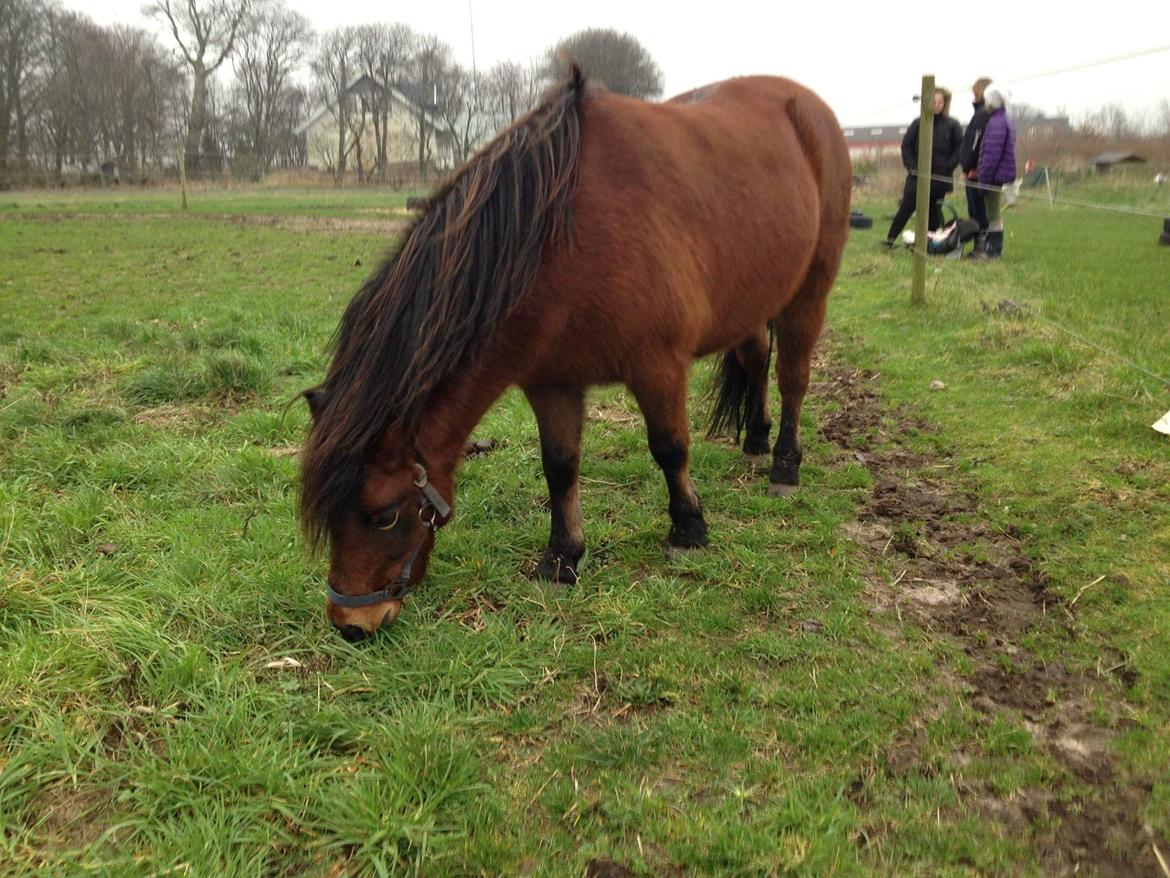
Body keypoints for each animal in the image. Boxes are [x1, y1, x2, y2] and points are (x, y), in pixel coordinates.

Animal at [301, 63, 851, 641]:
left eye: (384, 514)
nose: (351, 622)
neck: (563, 239)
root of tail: (806, 105)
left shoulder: (659, 367)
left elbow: (669, 448)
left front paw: (688, 529)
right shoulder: (551, 380)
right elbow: (560, 466)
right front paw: (562, 557)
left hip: (811, 288)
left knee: (792, 375)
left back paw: (784, 466)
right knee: (756, 359)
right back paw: (756, 440)